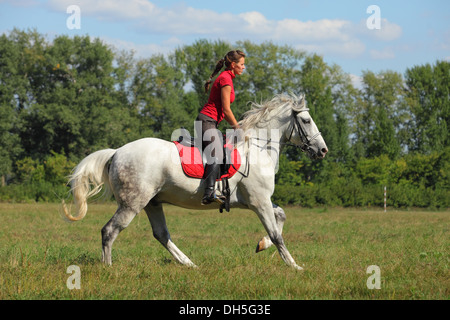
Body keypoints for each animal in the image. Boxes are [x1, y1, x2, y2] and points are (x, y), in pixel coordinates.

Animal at [62, 93, 326, 270]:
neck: (258, 148)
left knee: (161, 234)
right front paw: (294, 266)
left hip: (152, 203)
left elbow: (281, 216)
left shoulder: (259, 201)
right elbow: (277, 234)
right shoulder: (259, 201)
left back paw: (189, 263)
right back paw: (108, 268)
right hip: (132, 204)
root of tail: (117, 152)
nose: (322, 150)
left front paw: (262, 245)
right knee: (110, 231)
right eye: (306, 121)